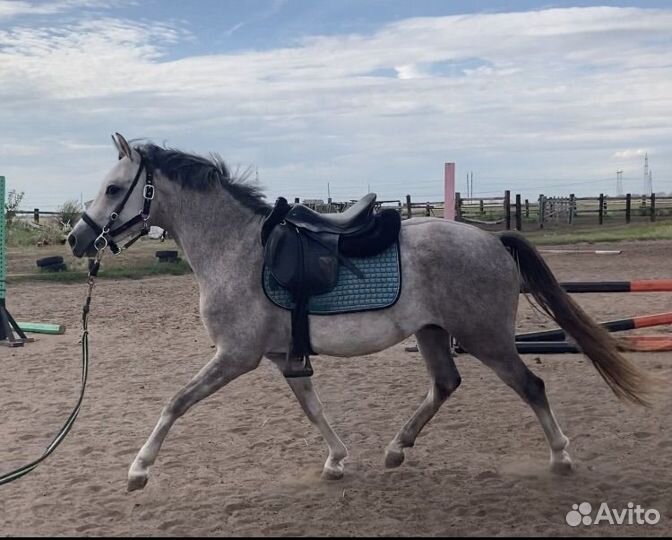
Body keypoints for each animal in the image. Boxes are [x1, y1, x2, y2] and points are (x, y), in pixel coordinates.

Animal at [67, 133, 650, 492]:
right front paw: (336, 460)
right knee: (445, 384)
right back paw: (396, 449)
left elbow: (175, 402)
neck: (237, 249)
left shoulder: (235, 356)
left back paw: (560, 457)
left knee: (532, 387)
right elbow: (313, 409)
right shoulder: (283, 357)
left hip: (486, 339)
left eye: (114, 188)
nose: (76, 239)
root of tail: (492, 240)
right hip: (433, 334)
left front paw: (138, 470)